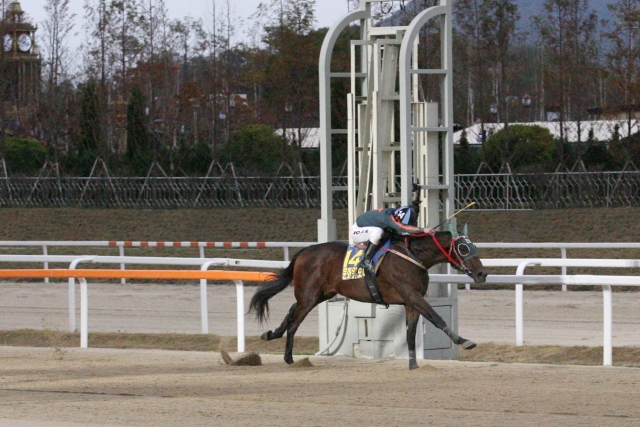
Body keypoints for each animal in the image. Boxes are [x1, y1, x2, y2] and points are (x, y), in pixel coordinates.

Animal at [249, 227, 484, 372]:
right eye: (463, 248)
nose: (482, 274)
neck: (413, 256)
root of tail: (304, 251)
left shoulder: (411, 302)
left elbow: (410, 334)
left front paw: (413, 365)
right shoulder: (412, 295)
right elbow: (436, 318)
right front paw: (464, 340)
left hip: (320, 294)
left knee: (291, 310)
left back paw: (271, 334)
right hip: (309, 295)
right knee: (294, 320)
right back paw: (289, 357)